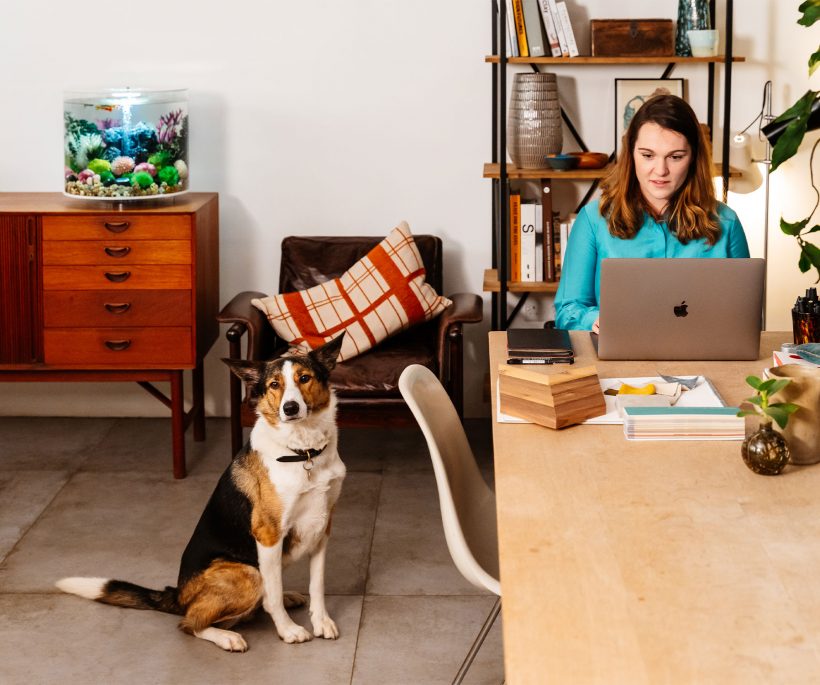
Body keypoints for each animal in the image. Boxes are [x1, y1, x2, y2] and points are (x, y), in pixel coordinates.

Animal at [56, 334, 346, 648]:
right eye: (274, 385)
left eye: (304, 378)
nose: (290, 408)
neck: (304, 452)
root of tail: (177, 595)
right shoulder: (268, 534)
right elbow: (273, 597)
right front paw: (288, 630)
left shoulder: (323, 526)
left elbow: (317, 584)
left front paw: (321, 621)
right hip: (248, 572)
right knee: (191, 622)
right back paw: (226, 637)